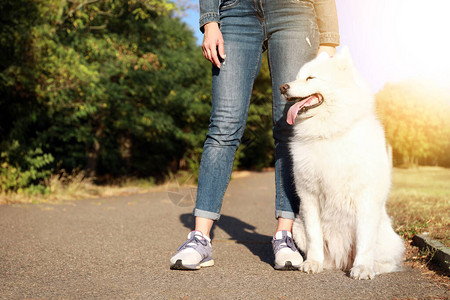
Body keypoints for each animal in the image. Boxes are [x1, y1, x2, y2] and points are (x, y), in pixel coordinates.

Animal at [282, 46, 404, 278]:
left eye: (310, 78)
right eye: (297, 77)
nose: (283, 87)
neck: (329, 135)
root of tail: (342, 262)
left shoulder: (365, 198)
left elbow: (365, 240)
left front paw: (363, 268)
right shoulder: (309, 197)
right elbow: (314, 237)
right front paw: (313, 263)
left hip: (385, 236)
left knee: (387, 261)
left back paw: (371, 267)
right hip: (297, 226)